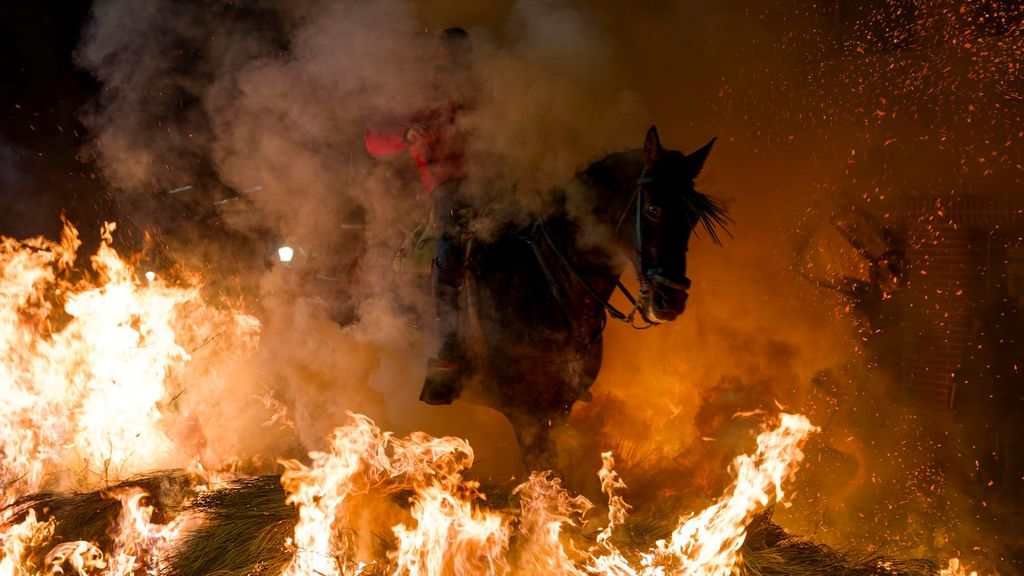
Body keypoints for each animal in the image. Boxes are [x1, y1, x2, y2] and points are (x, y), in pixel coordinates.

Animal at [419, 126, 724, 467]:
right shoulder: (525, 413)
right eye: (653, 209)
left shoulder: (561, 406)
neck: (543, 284)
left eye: (693, 217)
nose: (670, 300)